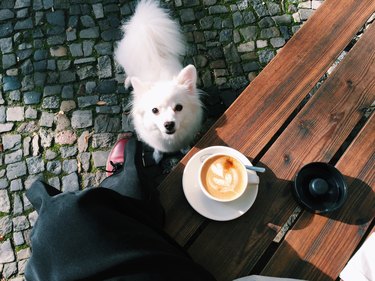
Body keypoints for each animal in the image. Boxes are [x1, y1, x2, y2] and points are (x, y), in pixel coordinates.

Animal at [115, 0, 204, 163]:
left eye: (179, 107)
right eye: (154, 110)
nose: (169, 124)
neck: (170, 140)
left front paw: (185, 150)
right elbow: (158, 149)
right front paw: (157, 156)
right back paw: (128, 82)